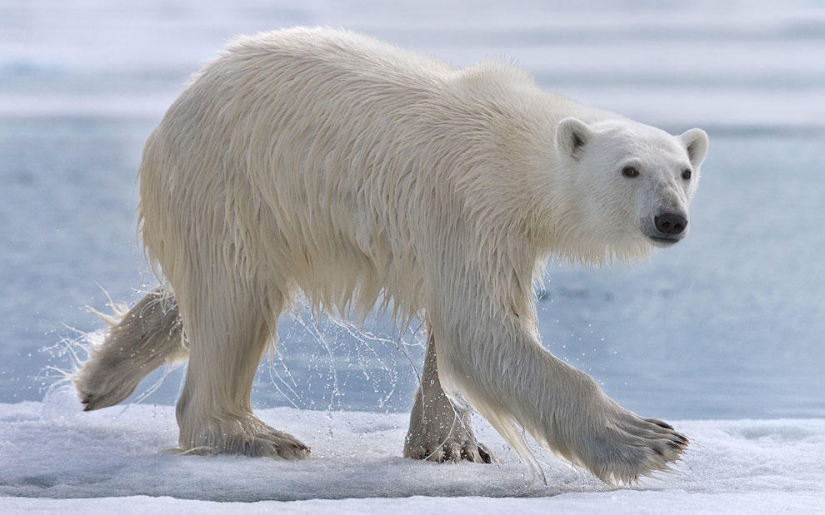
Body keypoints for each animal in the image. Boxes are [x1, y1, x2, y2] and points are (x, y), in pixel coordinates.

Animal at [74, 26, 708, 486]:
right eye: (629, 169)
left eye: (684, 170)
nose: (670, 219)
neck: (515, 148)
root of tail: (183, 99)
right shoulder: (471, 204)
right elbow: (482, 331)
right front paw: (650, 439)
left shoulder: (494, 233)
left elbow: (454, 330)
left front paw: (447, 443)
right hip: (230, 179)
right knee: (234, 297)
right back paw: (255, 434)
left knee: (202, 293)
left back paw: (106, 371)